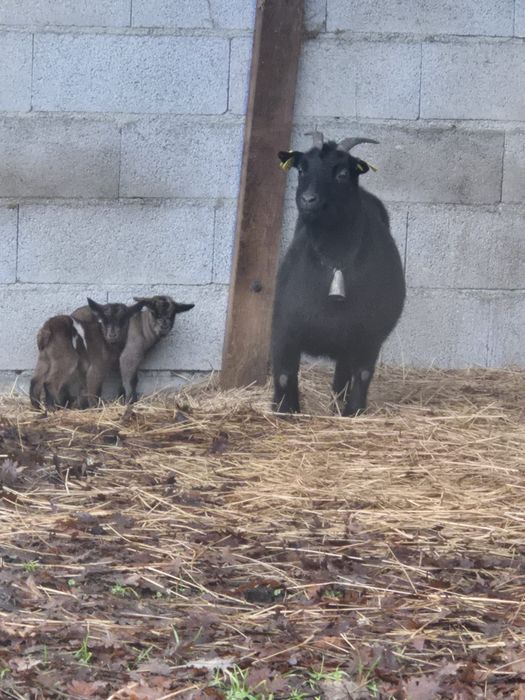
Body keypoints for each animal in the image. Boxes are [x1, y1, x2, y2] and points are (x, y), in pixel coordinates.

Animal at [272, 132, 405, 415]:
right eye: (302, 169)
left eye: (342, 173)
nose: (308, 200)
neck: (335, 262)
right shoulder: (284, 326)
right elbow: (284, 374)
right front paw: (284, 410)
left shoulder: (368, 335)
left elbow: (362, 374)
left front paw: (353, 411)